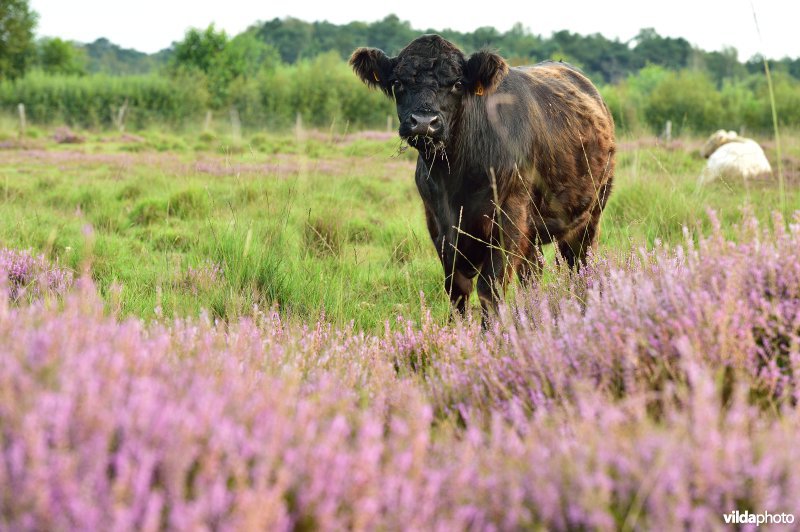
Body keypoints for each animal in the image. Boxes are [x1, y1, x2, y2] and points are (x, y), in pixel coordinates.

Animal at [346, 36, 616, 320]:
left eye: (457, 83)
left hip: (588, 216)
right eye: (398, 82)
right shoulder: (440, 227)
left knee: (580, 266)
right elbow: (457, 290)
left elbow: (490, 289)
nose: (424, 122)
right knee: (532, 273)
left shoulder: (508, 221)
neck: (454, 180)